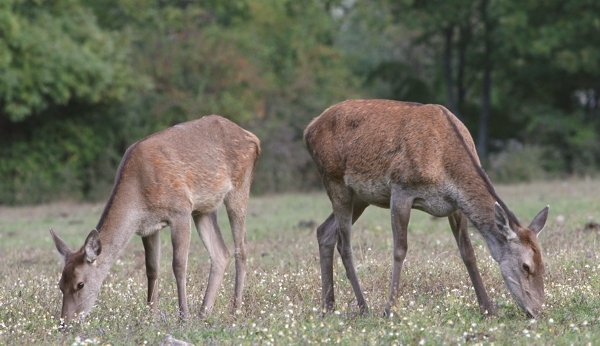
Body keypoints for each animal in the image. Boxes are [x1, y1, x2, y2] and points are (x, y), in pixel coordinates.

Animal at [49, 115, 260, 324]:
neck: (138, 196)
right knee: (220, 253)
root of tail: (253, 138)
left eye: (80, 284)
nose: (65, 323)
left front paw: (183, 317)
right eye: (60, 284)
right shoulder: (148, 227)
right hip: (204, 208)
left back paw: (235, 310)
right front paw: (151, 315)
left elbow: (178, 265)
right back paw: (203, 313)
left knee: (242, 247)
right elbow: (152, 269)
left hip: (239, 188)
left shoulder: (180, 210)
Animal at [304, 98, 548, 318]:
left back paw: (328, 306)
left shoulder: (455, 205)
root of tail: (308, 130)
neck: (444, 163)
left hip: (360, 196)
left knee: (325, 231)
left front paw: (487, 308)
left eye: (544, 264)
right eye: (526, 266)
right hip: (335, 180)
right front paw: (389, 309)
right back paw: (363, 307)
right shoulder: (401, 189)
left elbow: (468, 253)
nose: (537, 311)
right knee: (344, 244)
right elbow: (399, 250)